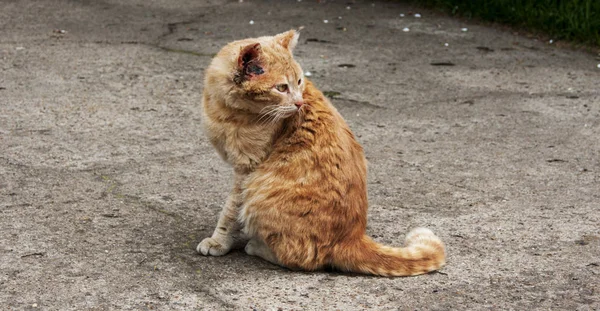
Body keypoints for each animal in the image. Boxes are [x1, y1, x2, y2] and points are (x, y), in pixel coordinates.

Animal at [197, 29, 446, 278]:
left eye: (299, 81)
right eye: (282, 88)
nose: (299, 103)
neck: (226, 109)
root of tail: (351, 238)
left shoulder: (246, 169)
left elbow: (230, 212)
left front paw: (218, 241)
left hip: (259, 194)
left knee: (302, 259)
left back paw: (258, 246)